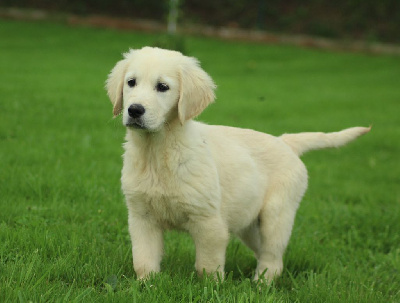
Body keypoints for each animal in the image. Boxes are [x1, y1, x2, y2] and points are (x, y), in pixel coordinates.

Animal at [105, 47, 368, 282]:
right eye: (131, 82)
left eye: (162, 87)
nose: (134, 110)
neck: (157, 151)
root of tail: (285, 141)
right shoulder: (141, 217)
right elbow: (143, 260)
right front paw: (146, 285)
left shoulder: (209, 221)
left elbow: (207, 266)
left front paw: (212, 289)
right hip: (249, 222)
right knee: (266, 253)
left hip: (276, 214)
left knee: (273, 258)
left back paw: (261, 285)